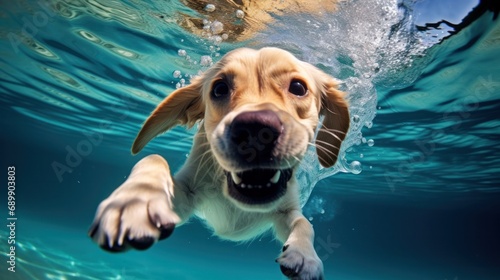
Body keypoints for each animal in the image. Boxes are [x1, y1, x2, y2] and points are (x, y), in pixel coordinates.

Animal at [89, 47, 348, 278]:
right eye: (220, 88)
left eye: (298, 87)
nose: (255, 130)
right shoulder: (186, 195)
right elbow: (154, 158)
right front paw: (135, 199)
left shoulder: (287, 209)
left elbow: (305, 224)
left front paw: (305, 255)